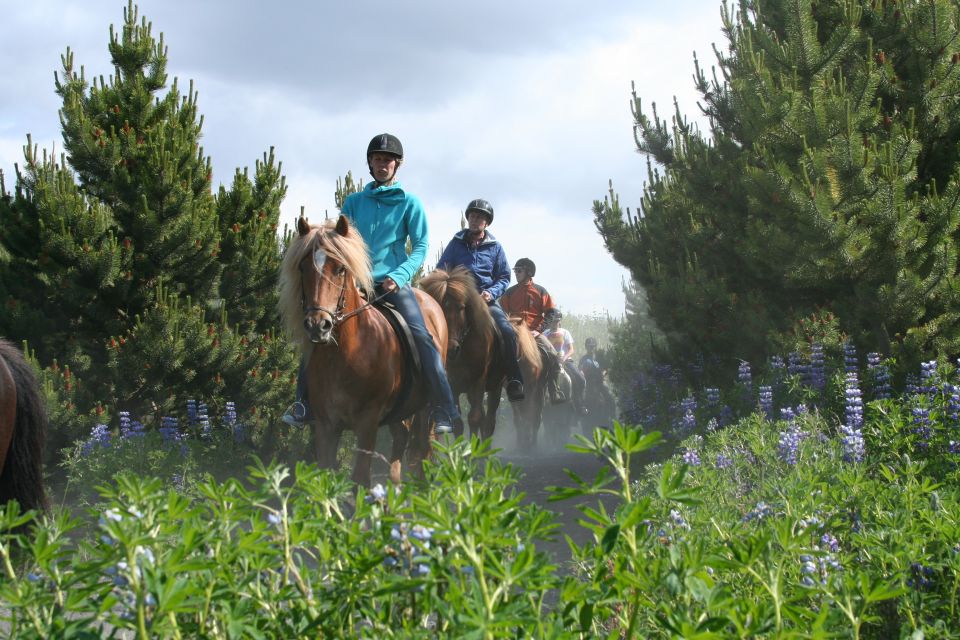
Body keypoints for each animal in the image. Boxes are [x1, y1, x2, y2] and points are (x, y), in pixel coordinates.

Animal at [274, 215, 446, 484]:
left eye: (340, 268)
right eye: (303, 268)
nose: (318, 325)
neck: (347, 355)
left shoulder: (367, 424)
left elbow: (360, 478)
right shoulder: (326, 425)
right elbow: (325, 475)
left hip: (425, 409)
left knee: (423, 452)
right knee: (401, 440)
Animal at [420, 266, 510, 440]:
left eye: (461, 307)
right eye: (438, 308)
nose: (451, 349)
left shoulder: (478, 382)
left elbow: (474, 418)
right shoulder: (452, 385)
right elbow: (458, 423)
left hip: (495, 388)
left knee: (488, 422)